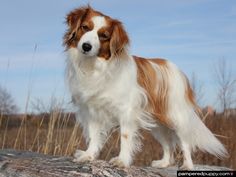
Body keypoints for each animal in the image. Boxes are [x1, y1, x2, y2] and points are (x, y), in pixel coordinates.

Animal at [63, 5, 228, 169]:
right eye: (85, 27)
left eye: (103, 36)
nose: (86, 46)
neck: (95, 67)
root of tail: (175, 69)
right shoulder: (91, 110)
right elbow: (94, 135)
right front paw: (89, 155)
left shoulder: (127, 111)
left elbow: (125, 137)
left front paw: (122, 160)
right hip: (158, 124)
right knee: (167, 144)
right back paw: (164, 163)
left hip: (176, 117)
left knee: (184, 142)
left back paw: (187, 165)